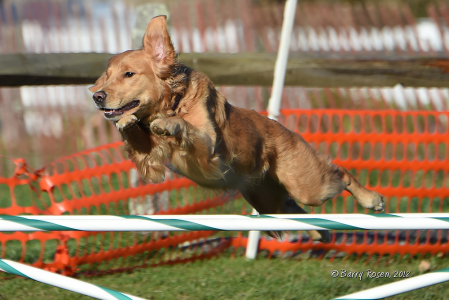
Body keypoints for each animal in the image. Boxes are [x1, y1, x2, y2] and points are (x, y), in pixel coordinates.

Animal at [89, 15, 384, 241]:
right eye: (107, 76)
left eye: (129, 74)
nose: (97, 96)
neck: (174, 102)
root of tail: (286, 130)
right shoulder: (150, 159)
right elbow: (141, 144)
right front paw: (126, 122)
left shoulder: (210, 149)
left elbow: (186, 128)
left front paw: (168, 124)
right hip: (268, 199)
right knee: (298, 212)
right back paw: (319, 233)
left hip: (306, 185)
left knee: (342, 175)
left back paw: (372, 200)